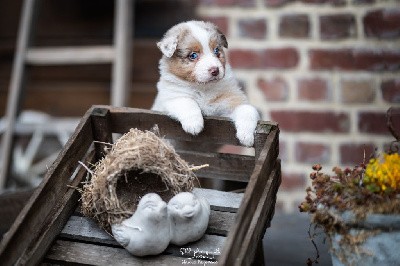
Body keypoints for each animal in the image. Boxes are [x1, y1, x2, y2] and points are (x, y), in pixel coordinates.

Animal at [152, 20, 260, 148]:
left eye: (216, 51)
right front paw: (194, 125)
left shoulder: (231, 101)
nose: (215, 70)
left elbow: (247, 110)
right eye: (193, 55)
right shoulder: (169, 99)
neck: (203, 88)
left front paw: (246, 137)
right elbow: (187, 101)